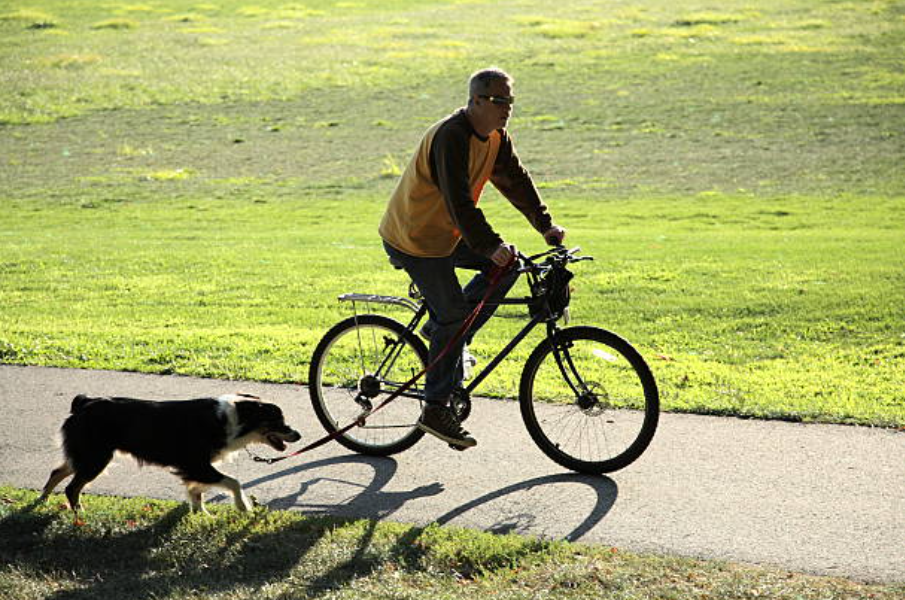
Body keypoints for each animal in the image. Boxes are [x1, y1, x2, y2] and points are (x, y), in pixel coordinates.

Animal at [39, 392, 300, 512]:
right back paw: (78, 514)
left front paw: (200, 515)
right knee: (72, 487)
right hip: (95, 457)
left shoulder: (196, 467)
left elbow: (196, 491)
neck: (233, 419)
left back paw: (41, 501)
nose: (298, 435)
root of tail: (84, 403)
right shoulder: (196, 463)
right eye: (277, 420)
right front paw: (243, 506)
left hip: (86, 455)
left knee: (57, 472)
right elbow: (233, 482)